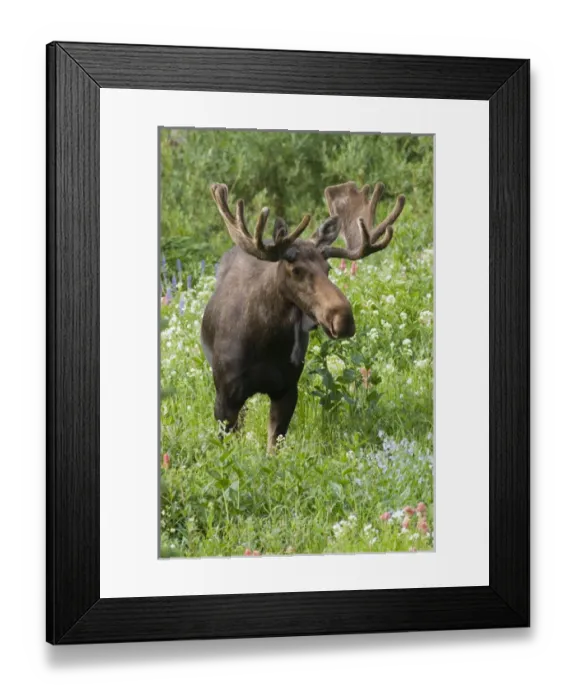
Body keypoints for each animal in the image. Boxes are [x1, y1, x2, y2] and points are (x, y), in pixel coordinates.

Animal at [200, 182, 406, 452]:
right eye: (296, 270)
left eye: (328, 268)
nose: (344, 318)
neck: (266, 342)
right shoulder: (225, 396)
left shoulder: (287, 389)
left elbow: (274, 448)